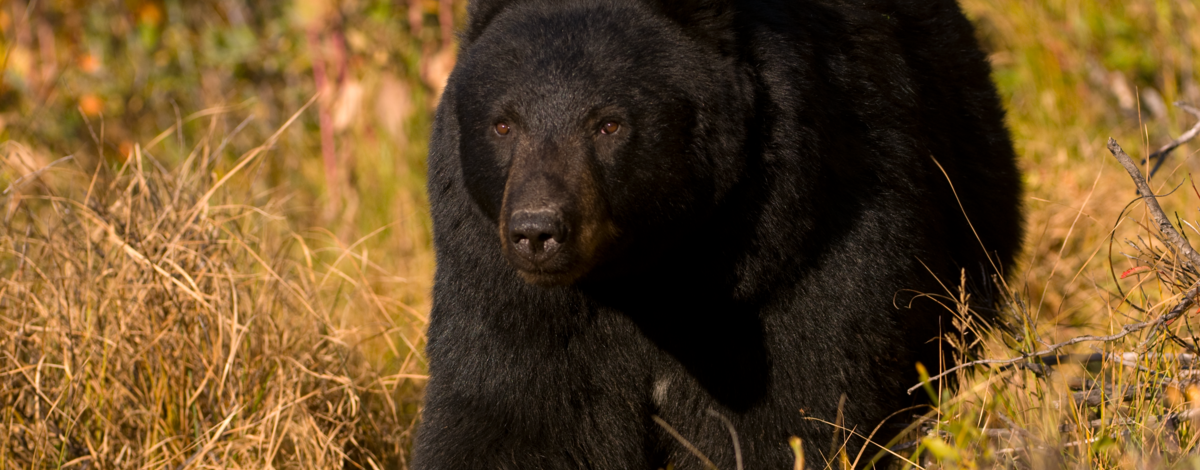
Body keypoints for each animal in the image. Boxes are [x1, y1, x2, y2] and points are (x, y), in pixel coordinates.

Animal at [415, 0, 1022, 465]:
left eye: (609, 123)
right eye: (503, 124)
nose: (538, 230)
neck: (648, 276)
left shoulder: (808, 252)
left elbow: (792, 407)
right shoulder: (509, 297)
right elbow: (517, 413)